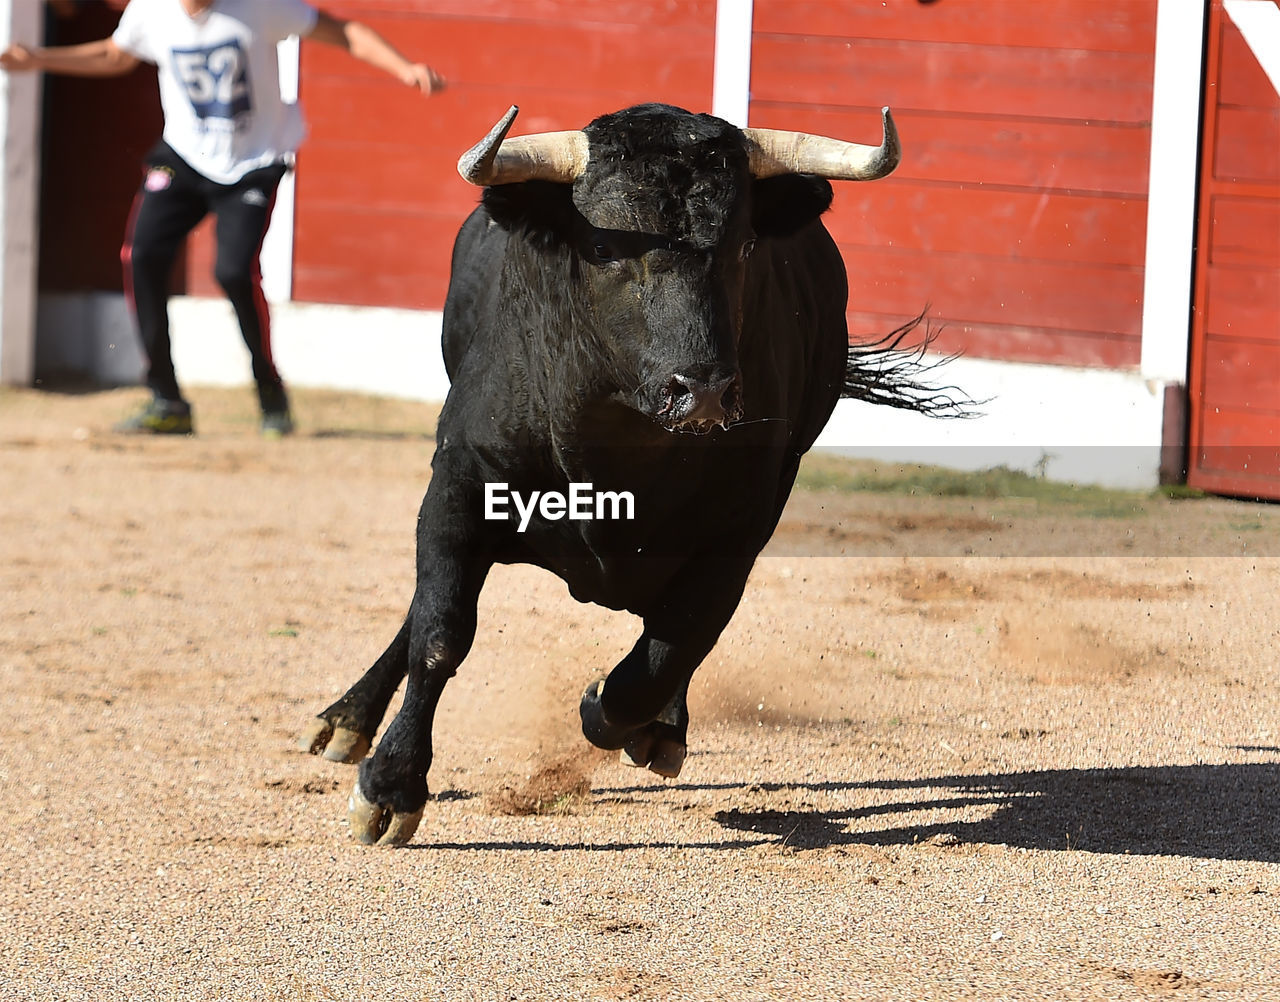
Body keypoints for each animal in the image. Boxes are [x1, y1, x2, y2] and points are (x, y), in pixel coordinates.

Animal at [296, 103, 962, 844]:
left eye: (742, 247)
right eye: (606, 250)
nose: (702, 391)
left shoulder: (739, 533)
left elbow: (666, 650)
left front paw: (607, 711)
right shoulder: (460, 486)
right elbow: (440, 634)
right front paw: (389, 788)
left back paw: (659, 730)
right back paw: (345, 720)